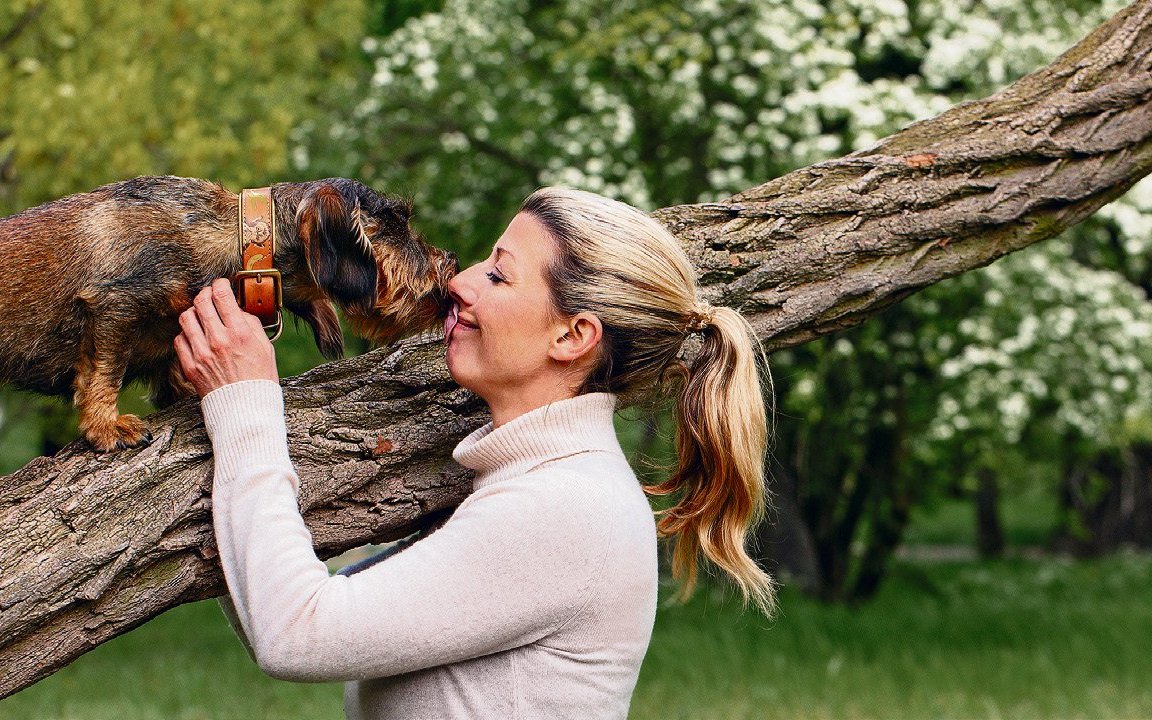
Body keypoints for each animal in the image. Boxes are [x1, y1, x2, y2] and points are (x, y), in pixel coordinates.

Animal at [0, 173, 456, 449]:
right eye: (396, 223)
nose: (449, 263)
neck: (233, 238)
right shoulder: (114, 305)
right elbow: (103, 372)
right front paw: (107, 427)